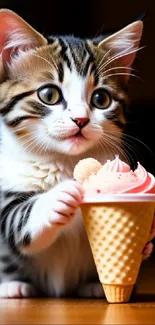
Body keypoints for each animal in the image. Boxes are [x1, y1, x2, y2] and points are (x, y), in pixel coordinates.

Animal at [0, 8, 147, 296]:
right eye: (49, 95)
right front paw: (58, 196)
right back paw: (12, 286)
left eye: (101, 99)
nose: (80, 120)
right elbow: (17, 219)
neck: (64, 161)